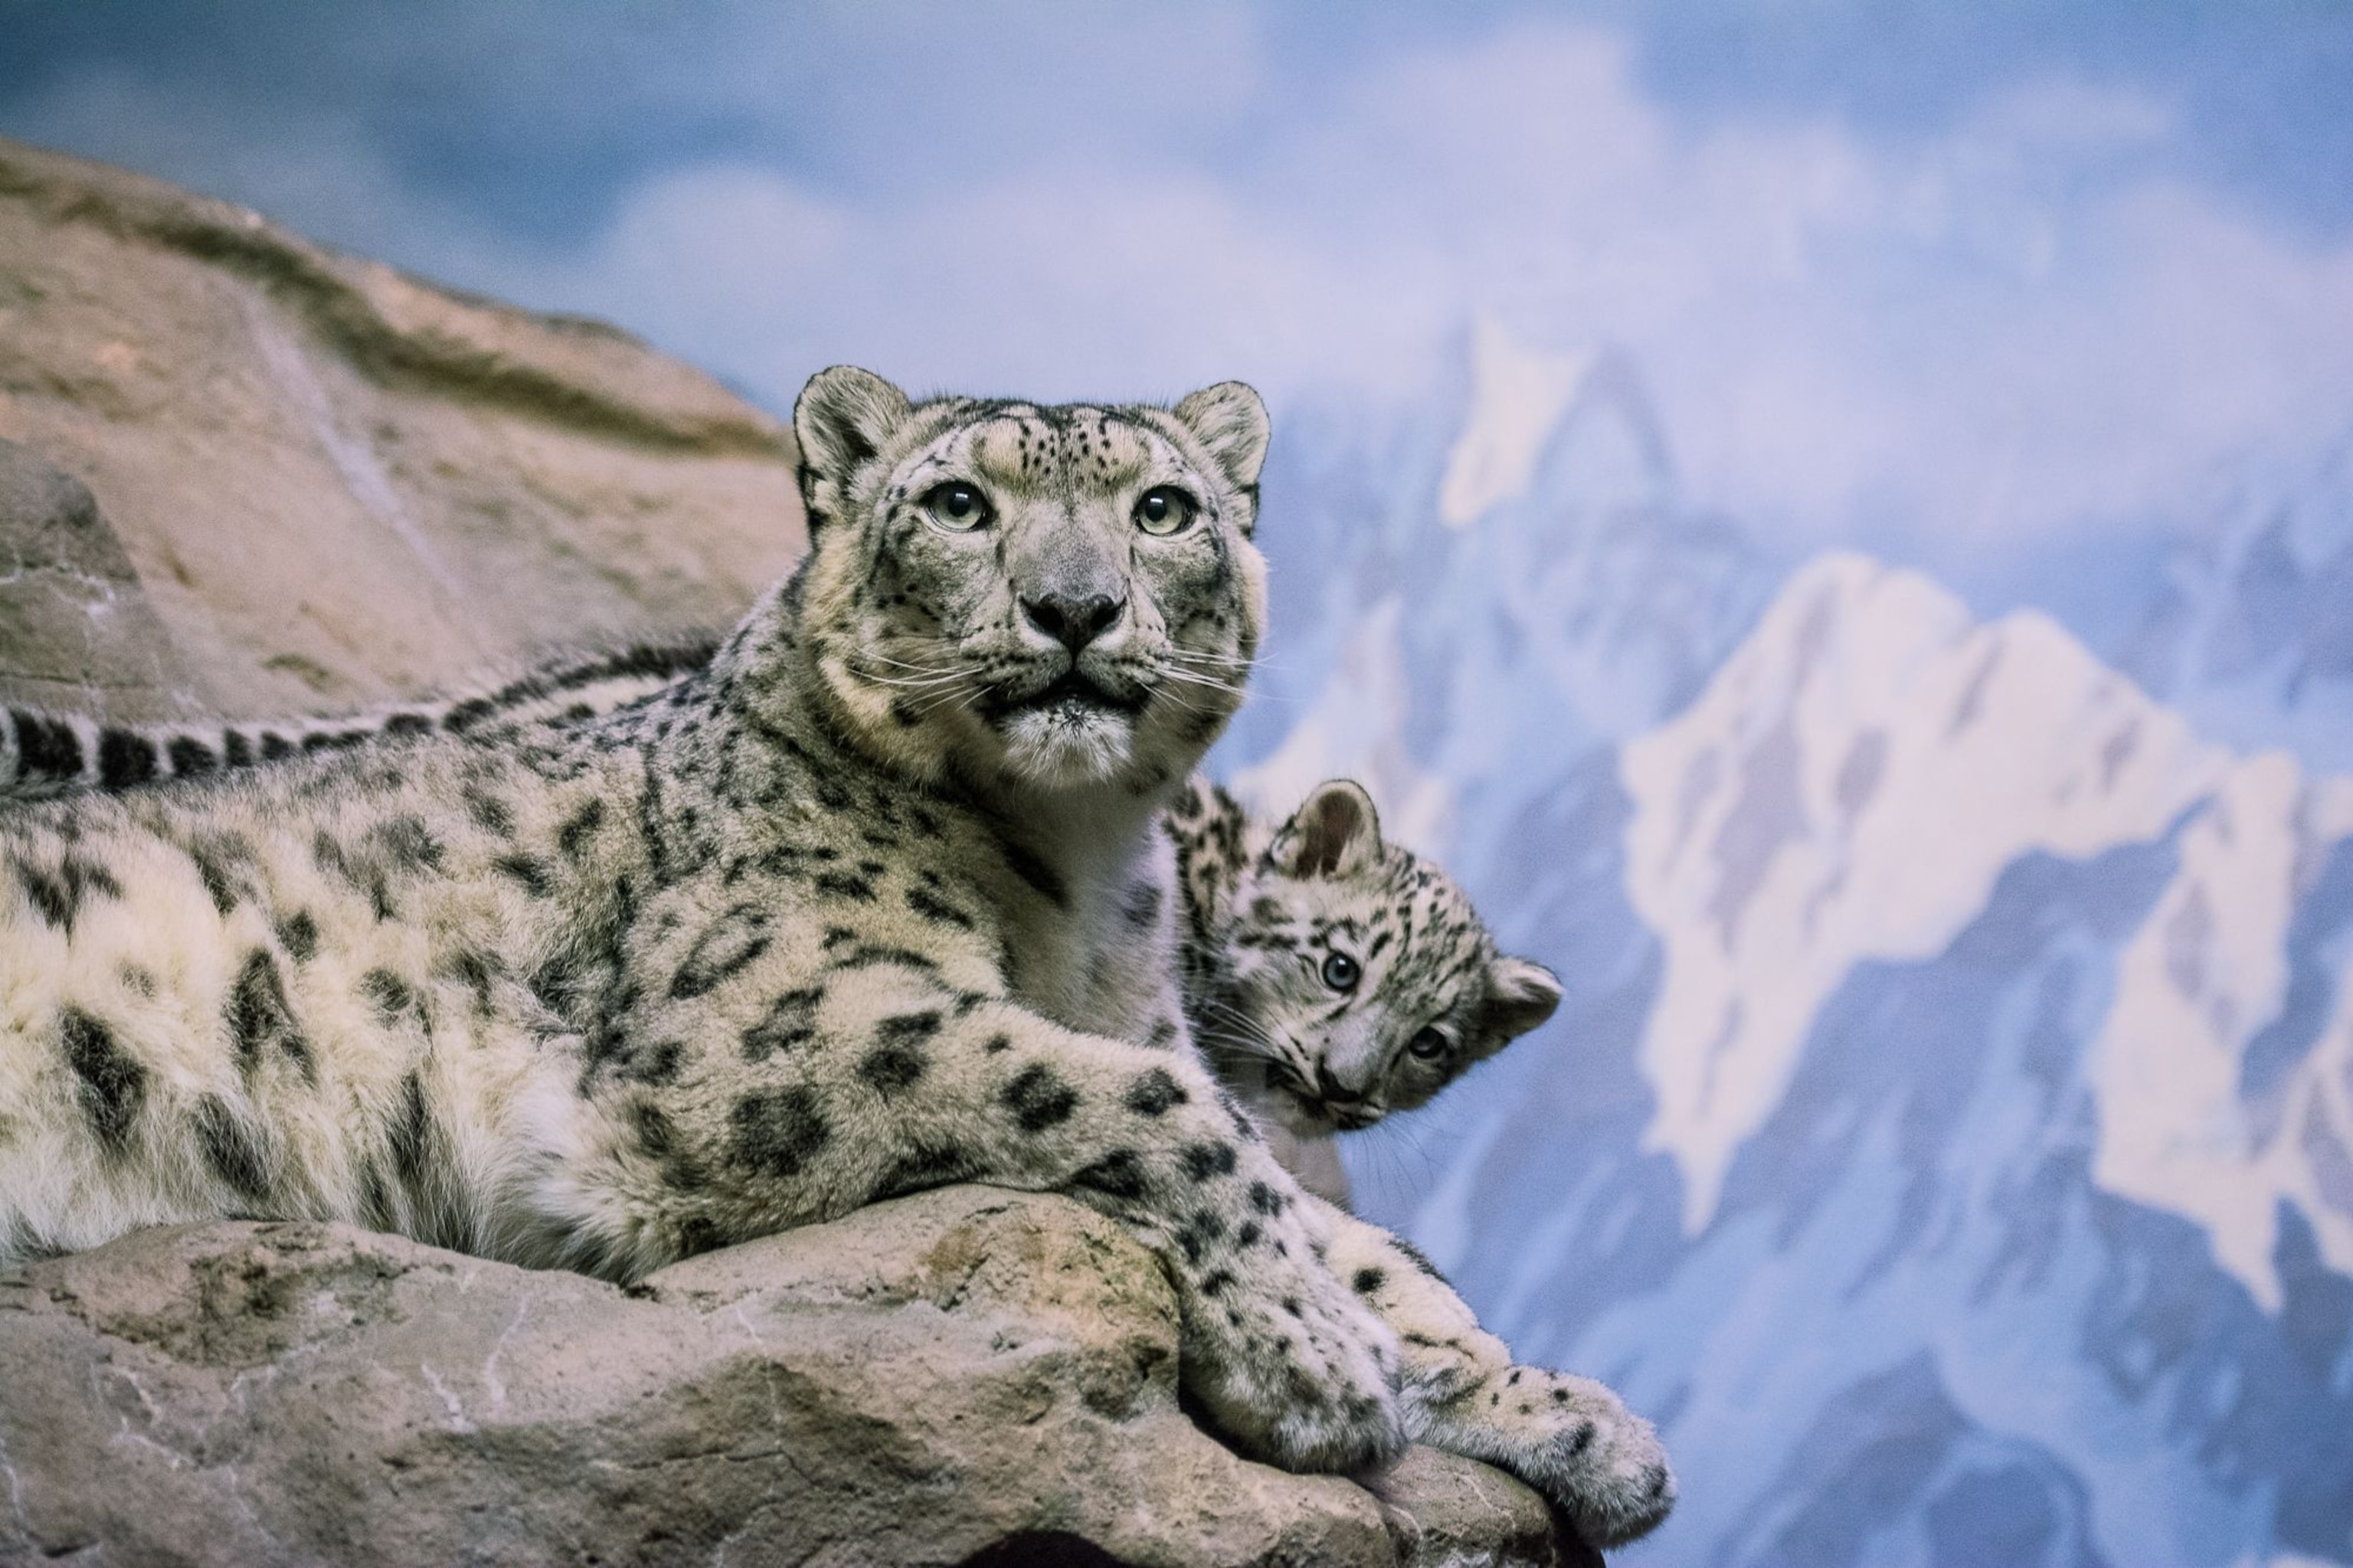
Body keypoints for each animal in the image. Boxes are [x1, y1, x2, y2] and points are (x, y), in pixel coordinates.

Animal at [0, 362, 1675, 1534]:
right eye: (958, 505)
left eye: (1162, 507)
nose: (1075, 609)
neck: (1084, 878)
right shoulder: (777, 1029)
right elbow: (1153, 1113)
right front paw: (1319, 1365)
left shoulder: (1151, 1024)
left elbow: (1363, 1241)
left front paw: (1587, 1424)